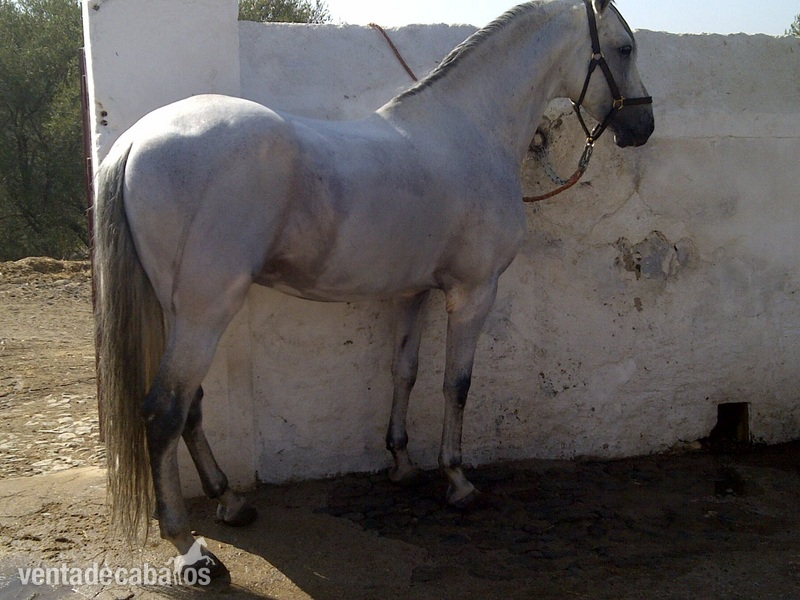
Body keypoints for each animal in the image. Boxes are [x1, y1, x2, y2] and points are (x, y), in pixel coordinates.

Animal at [93, 0, 653, 577]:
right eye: (625, 48)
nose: (642, 125)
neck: (470, 131)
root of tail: (137, 138)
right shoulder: (474, 293)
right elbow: (457, 384)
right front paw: (458, 482)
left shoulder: (413, 293)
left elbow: (404, 371)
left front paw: (401, 462)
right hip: (206, 313)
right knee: (164, 410)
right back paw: (187, 545)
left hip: (178, 311)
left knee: (193, 404)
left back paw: (230, 500)